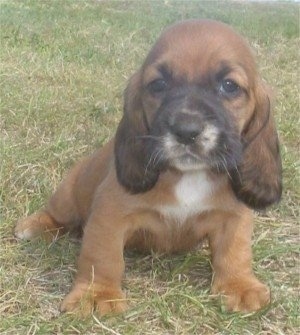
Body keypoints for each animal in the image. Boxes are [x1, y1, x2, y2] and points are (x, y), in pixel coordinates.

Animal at [14, 19, 282, 318]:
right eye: (158, 84)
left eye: (229, 86)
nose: (186, 131)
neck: (187, 175)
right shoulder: (109, 216)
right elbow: (103, 256)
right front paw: (96, 293)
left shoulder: (233, 217)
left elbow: (234, 253)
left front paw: (239, 286)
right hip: (68, 195)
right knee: (57, 215)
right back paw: (34, 225)